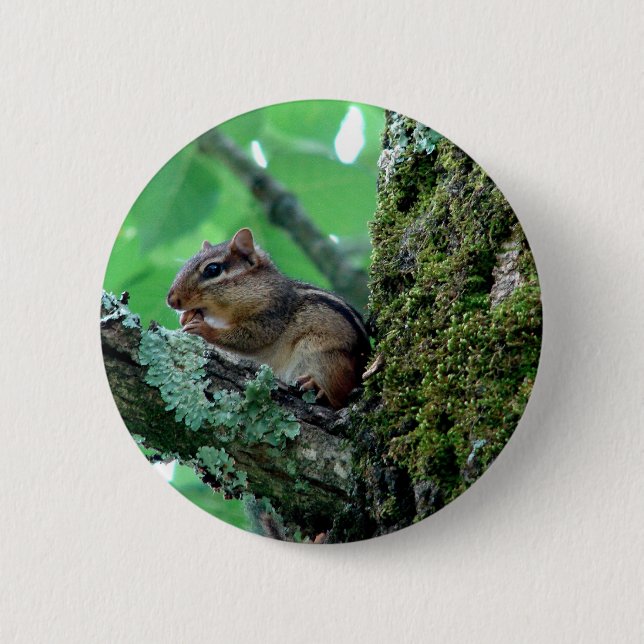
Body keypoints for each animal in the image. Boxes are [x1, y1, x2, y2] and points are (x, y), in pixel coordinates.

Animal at [166, 228, 370, 409]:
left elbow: (251, 338)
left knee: (339, 396)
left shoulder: (271, 316)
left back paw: (316, 386)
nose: (171, 300)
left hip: (324, 358)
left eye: (212, 269)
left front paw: (203, 328)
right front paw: (186, 317)